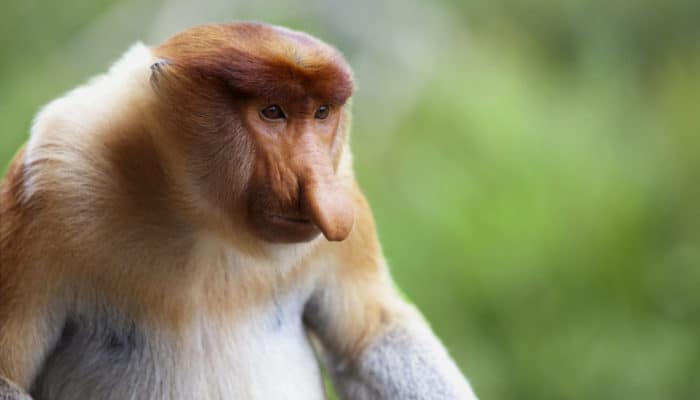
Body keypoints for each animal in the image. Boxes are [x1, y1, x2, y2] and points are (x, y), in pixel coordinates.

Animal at [0, 22, 476, 400]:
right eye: (272, 112)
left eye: (321, 112)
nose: (319, 191)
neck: (199, 216)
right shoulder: (53, 179)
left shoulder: (343, 181)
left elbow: (372, 335)